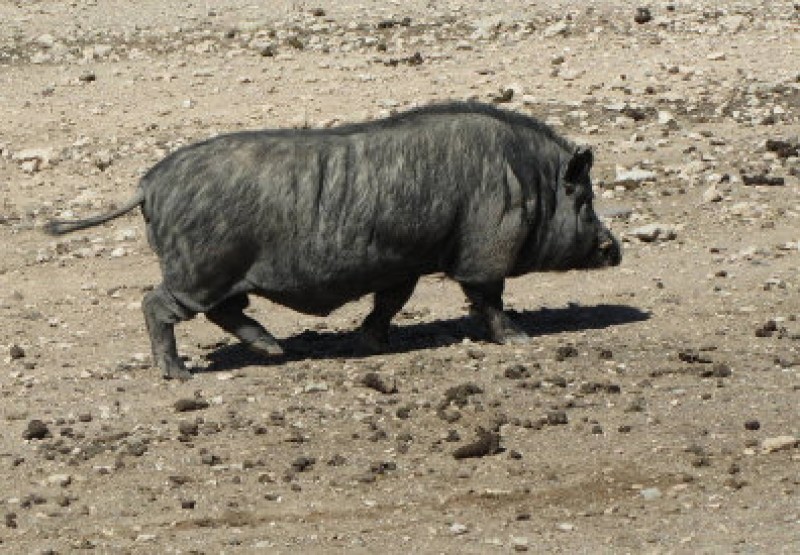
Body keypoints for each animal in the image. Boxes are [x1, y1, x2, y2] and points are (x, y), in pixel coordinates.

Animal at [46, 101, 621, 379]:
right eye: (586, 199)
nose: (614, 248)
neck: (530, 183)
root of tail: (148, 184)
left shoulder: (402, 262)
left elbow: (391, 302)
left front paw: (371, 344)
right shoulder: (483, 251)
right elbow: (489, 298)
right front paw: (520, 339)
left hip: (216, 273)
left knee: (224, 311)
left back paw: (274, 349)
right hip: (198, 269)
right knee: (156, 305)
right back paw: (180, 376)